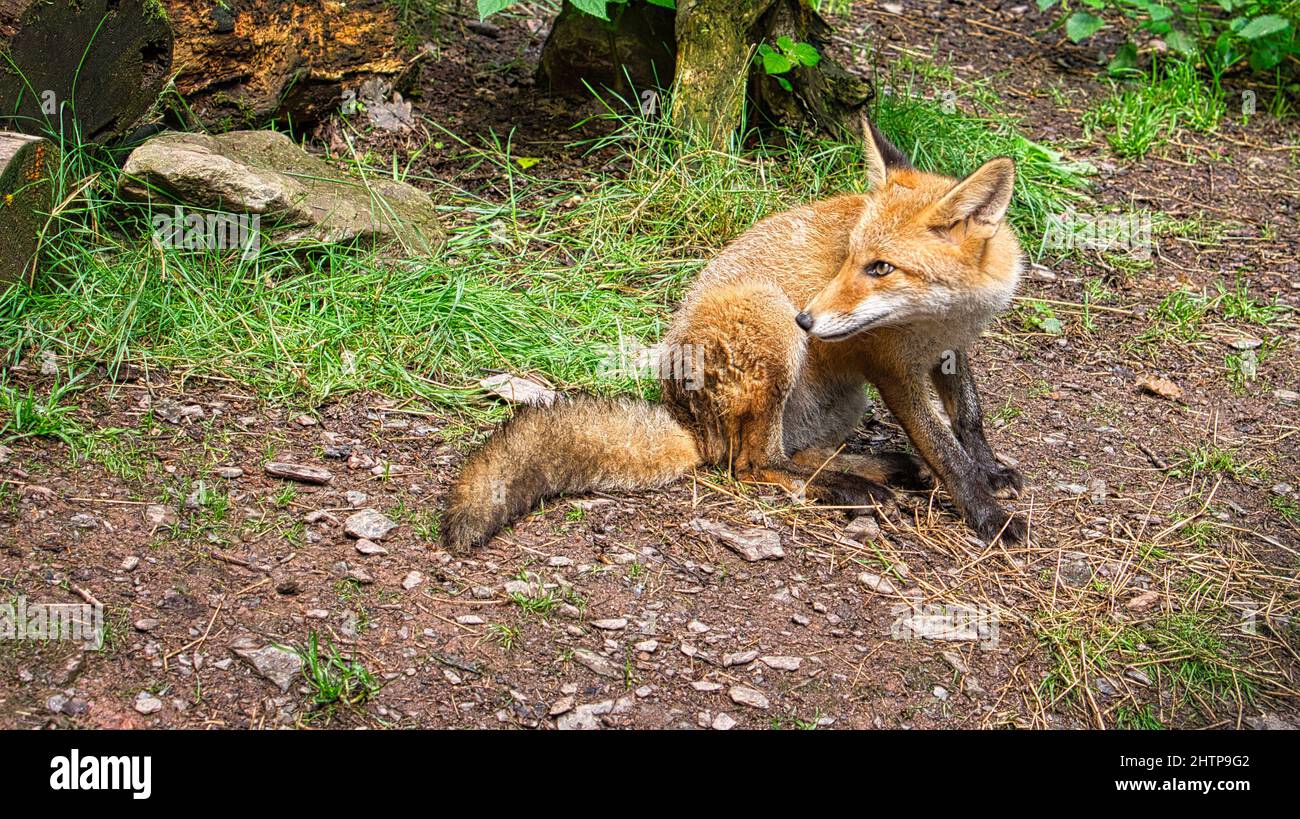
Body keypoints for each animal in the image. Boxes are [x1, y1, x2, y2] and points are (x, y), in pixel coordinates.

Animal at [442, 120, 1028, 553]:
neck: (942, 316)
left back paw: (881, 469)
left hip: (840, 402)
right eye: (847, 259)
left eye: (881, 268)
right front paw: (987, 513)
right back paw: (853, 488)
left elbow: (968, 416)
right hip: (771, 327)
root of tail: (688, 425)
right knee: (752, 465)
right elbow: (942, 446)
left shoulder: (950, 348)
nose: (809, 320)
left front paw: (990, 471)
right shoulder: (891, 366)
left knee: (796, 454)